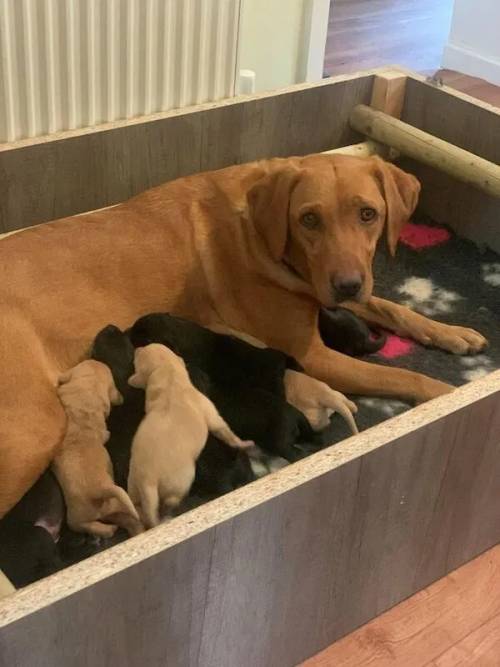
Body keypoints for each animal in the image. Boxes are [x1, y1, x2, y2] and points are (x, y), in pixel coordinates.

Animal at [53, 360, 143, 536]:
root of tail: (101, 489)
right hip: (114, 505)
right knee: (128, 520)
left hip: (77, 517)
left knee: (86, 526)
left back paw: (109, 530)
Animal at [128, 344, 254, 528]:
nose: (138, 347)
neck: (169, 374)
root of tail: (148, 481)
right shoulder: (211, 414)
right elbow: (225, 431)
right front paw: (243, 443)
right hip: (183, 479)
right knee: (170, 501)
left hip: (133, 484)